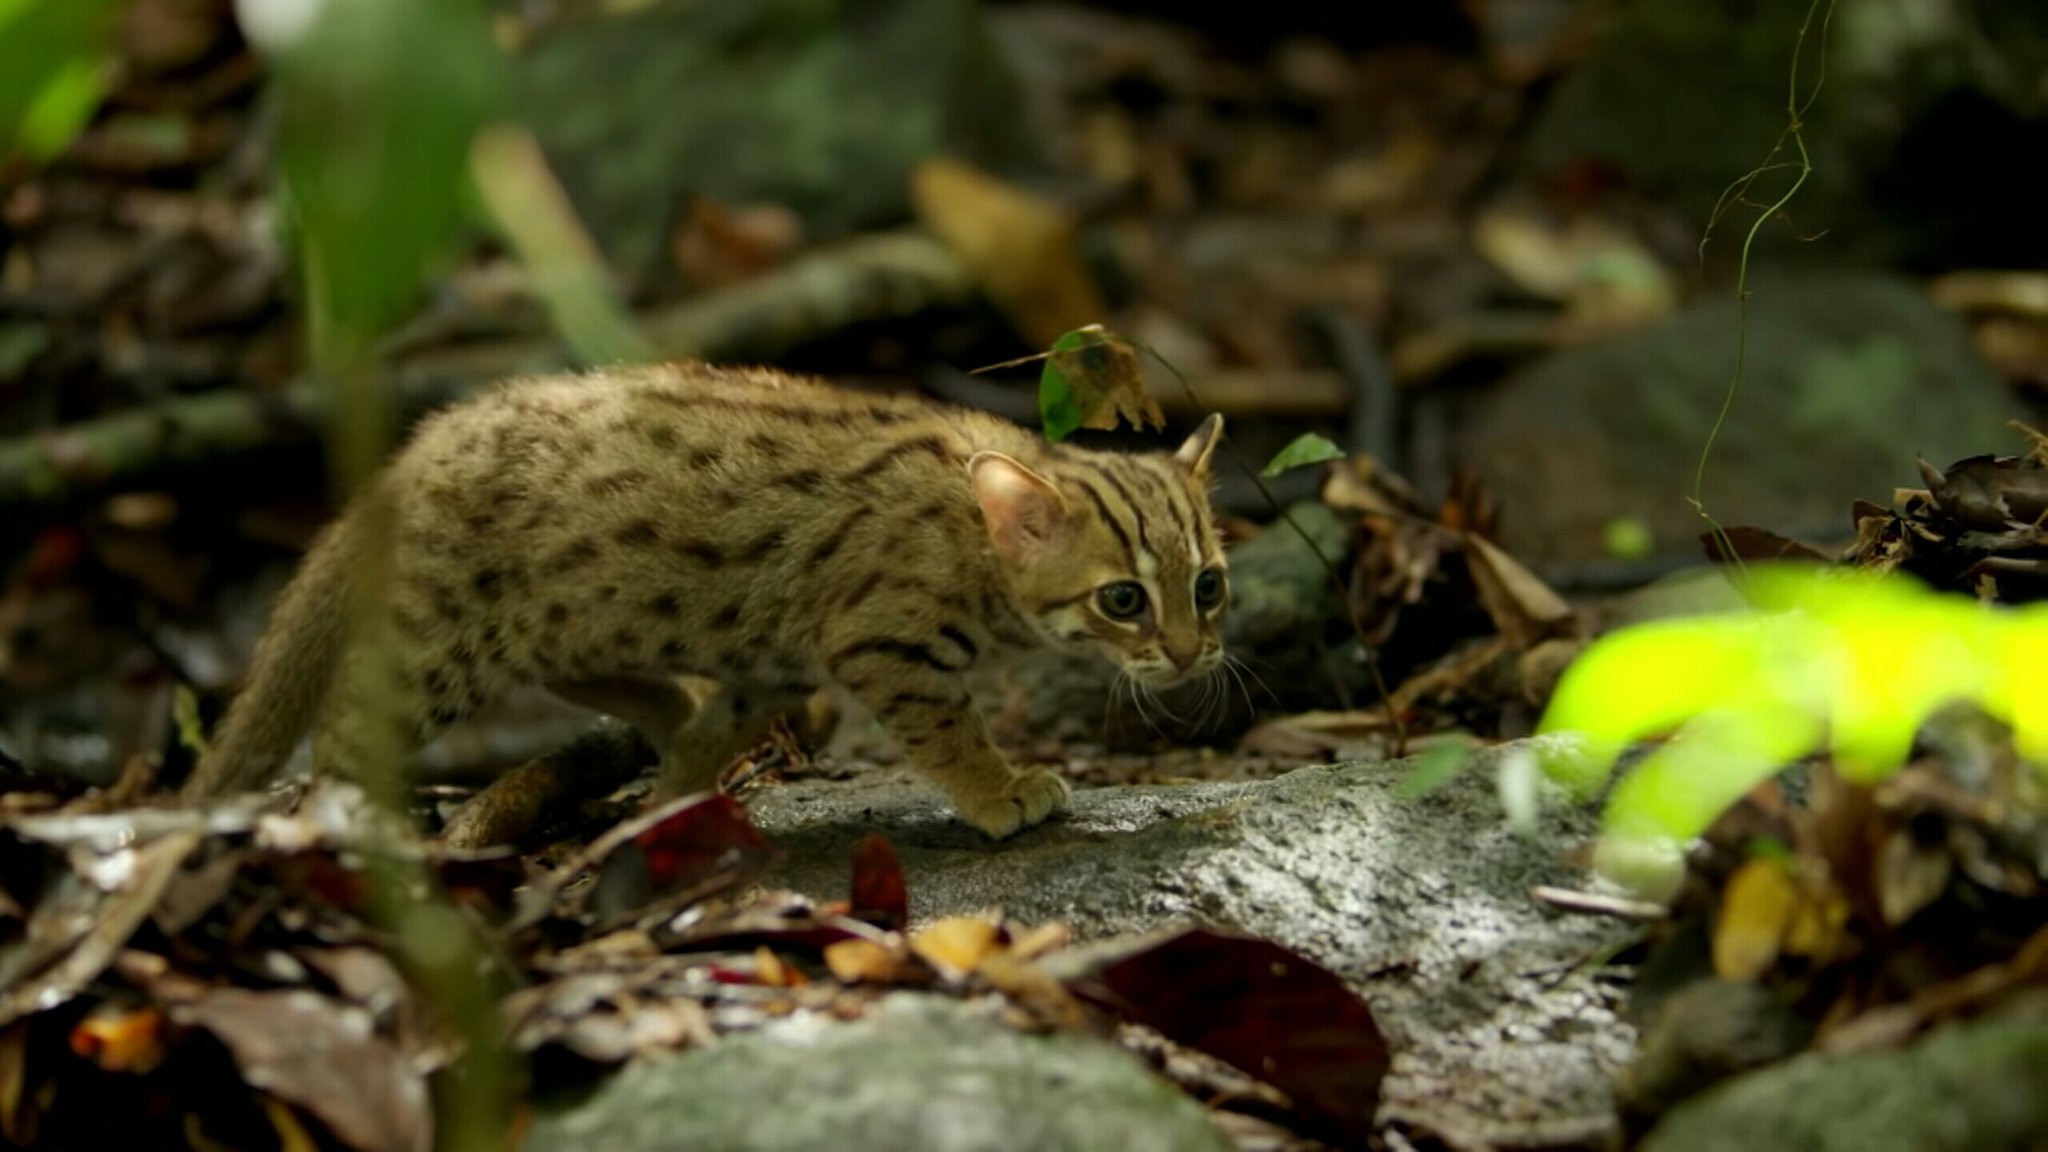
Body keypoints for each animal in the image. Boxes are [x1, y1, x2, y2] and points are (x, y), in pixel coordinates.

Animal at [184, 360, 1220, 832]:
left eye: (1208, 586)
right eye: (1123, 600)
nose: (1189, 654)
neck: (977, 535)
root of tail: (415, 450)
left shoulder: (777, 664)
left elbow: (722, 724)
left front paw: (676, 796)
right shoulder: (881, 642)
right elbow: (946, 728)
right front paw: (998, 788)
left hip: (567, 617)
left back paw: (665, 719)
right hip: (441, 643)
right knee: (343, 731)